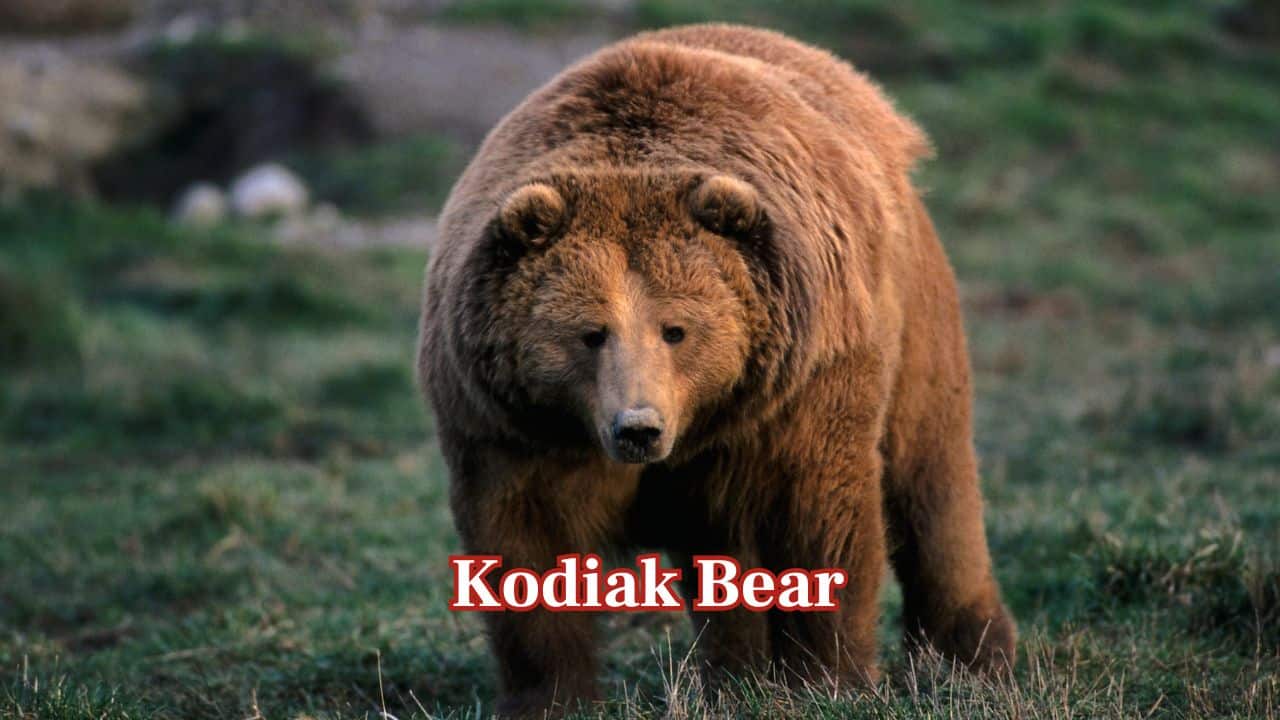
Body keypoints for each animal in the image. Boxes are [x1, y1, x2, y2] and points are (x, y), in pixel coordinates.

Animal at [418, 23, 1016, 717]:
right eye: (590, 332)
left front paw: (832, 680)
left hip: (912, 309)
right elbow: (525, 550)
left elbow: (822, 519)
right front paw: (552, 697)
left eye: (676, 328)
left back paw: (975, 655)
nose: (638, 427)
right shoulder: (511, 426)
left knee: (932, 479)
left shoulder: (799, 394)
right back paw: (735, 675)